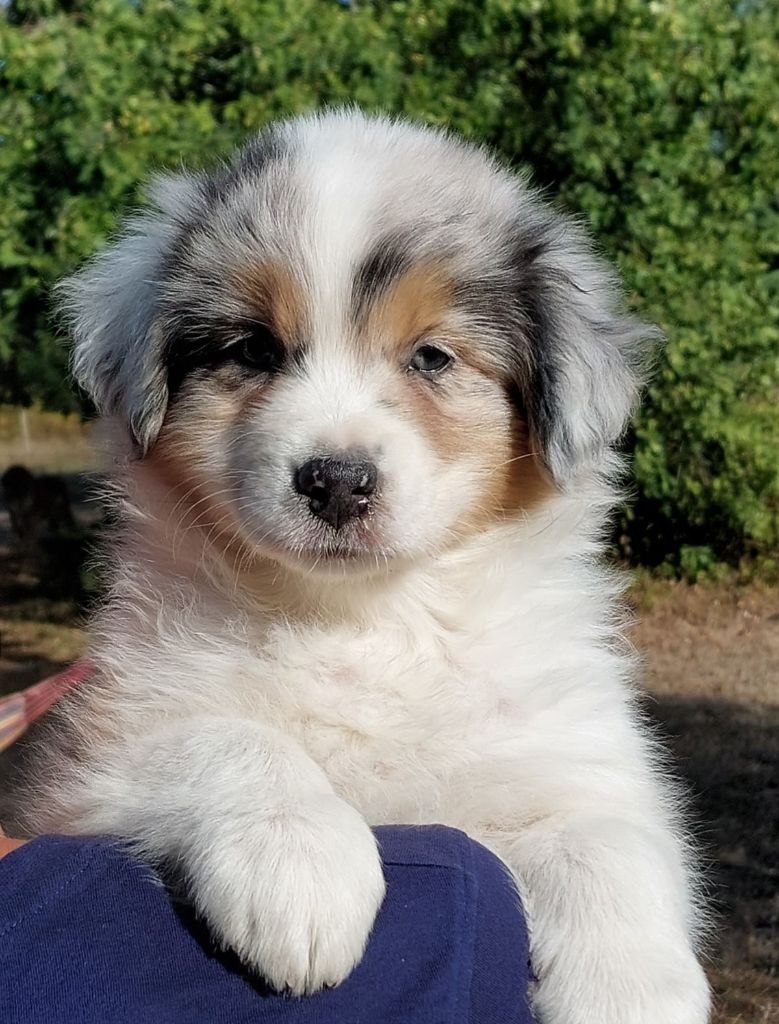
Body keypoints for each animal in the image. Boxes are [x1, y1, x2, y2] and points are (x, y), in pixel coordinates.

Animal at [24, 112, 708, 1024]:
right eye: (253, 349)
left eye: (432, 358)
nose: (337, 481)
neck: (365, 620)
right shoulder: (98, 750)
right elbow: (228, 737)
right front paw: (302, 870)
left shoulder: (567, 748)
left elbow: (607, 837)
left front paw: (629, 990)